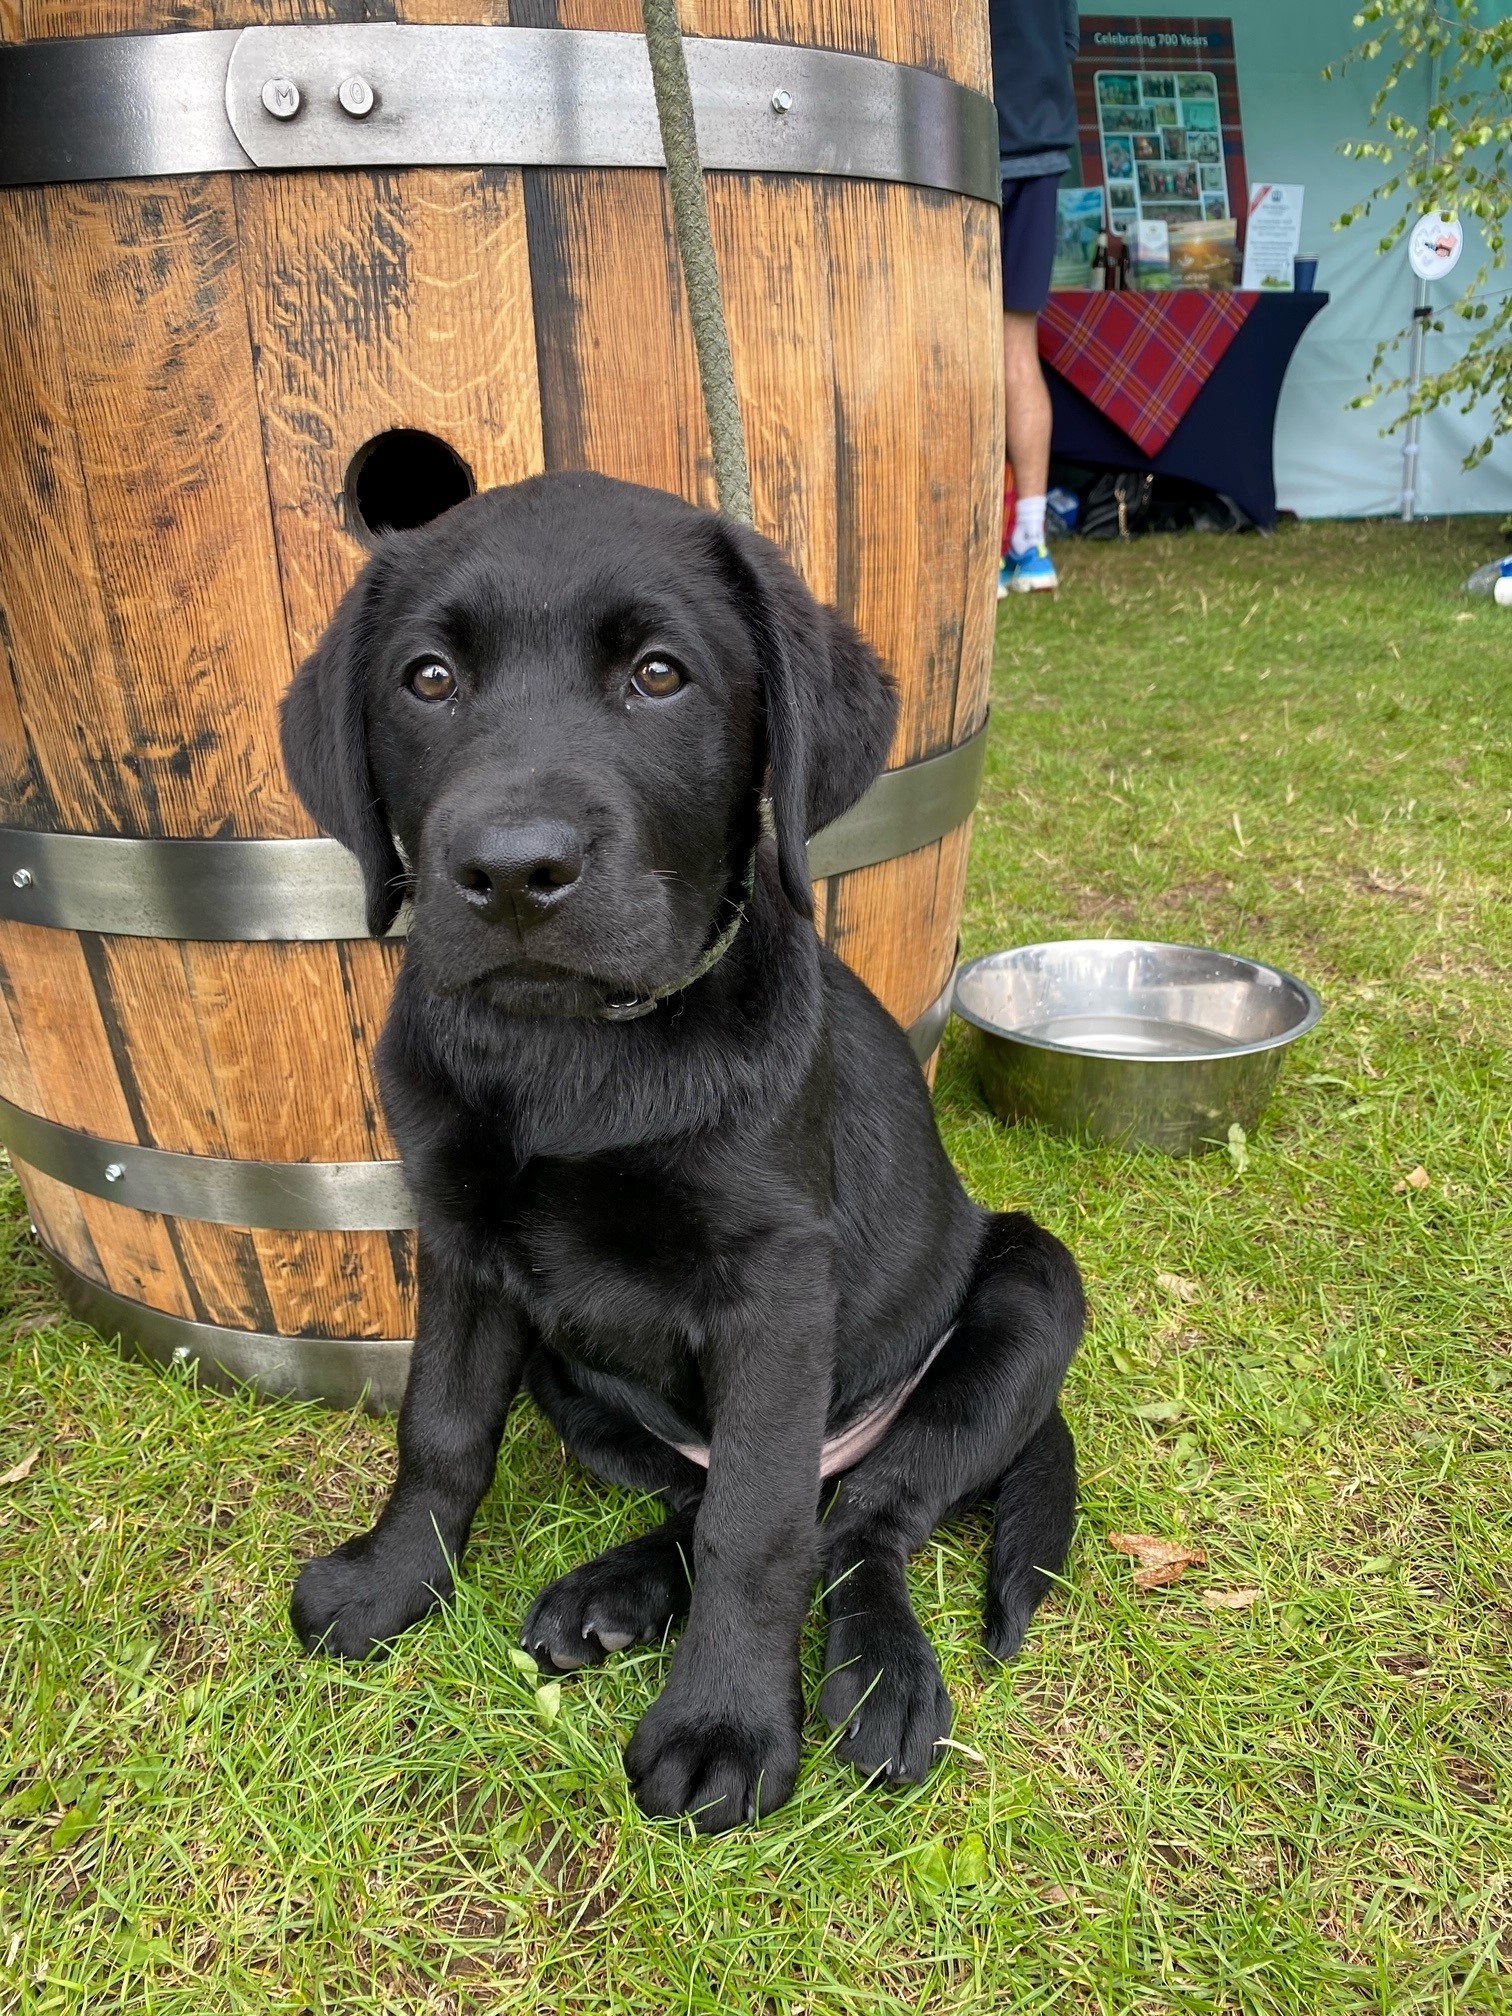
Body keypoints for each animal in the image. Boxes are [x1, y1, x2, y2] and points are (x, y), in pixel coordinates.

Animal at [279, 472, 1083, 1831]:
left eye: (660, 675)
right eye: (427, 679)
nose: (512, 872)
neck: (571, 1056)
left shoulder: (776, 1284)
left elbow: (759, 1530)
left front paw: (724, 1725)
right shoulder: (461, 1244)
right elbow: (440, 1432)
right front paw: (391, 1585)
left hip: (1029, 1296)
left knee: (859, 1517)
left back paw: (881, 1676)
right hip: (569, 1369)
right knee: (706, 1495)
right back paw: (610, 1595)